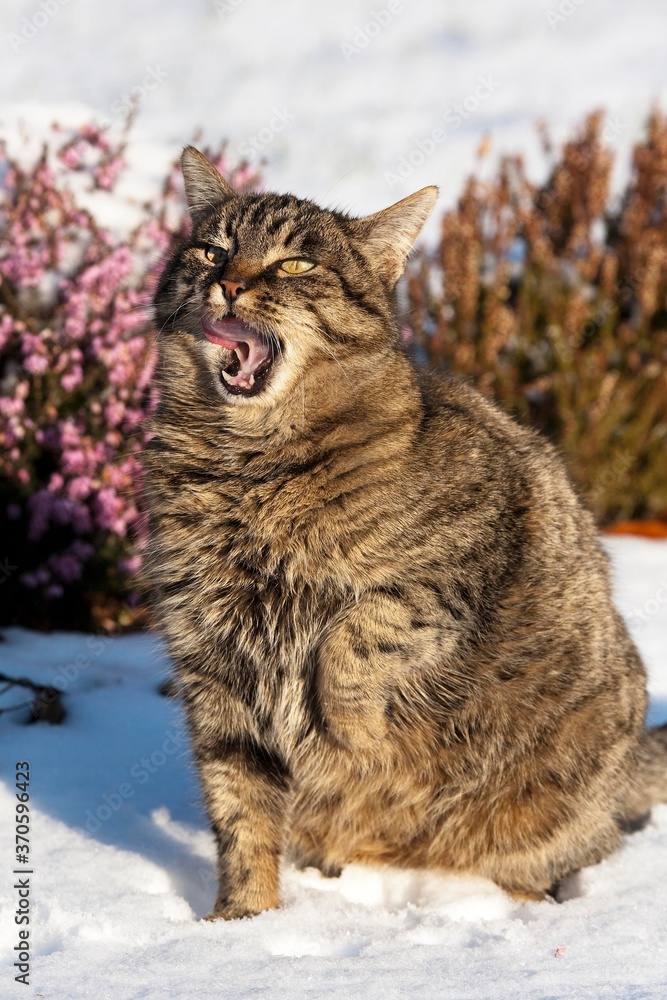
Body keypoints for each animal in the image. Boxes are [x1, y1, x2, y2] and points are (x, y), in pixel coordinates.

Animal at [146, 145, 667, 916]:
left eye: (295, 264)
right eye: (212, 250)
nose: (229, 283)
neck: (248, 467)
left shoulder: (459, 565)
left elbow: (358, 634)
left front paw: (349, 730)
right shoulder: (212, 667)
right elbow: (240, 812)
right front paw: (243, 920)